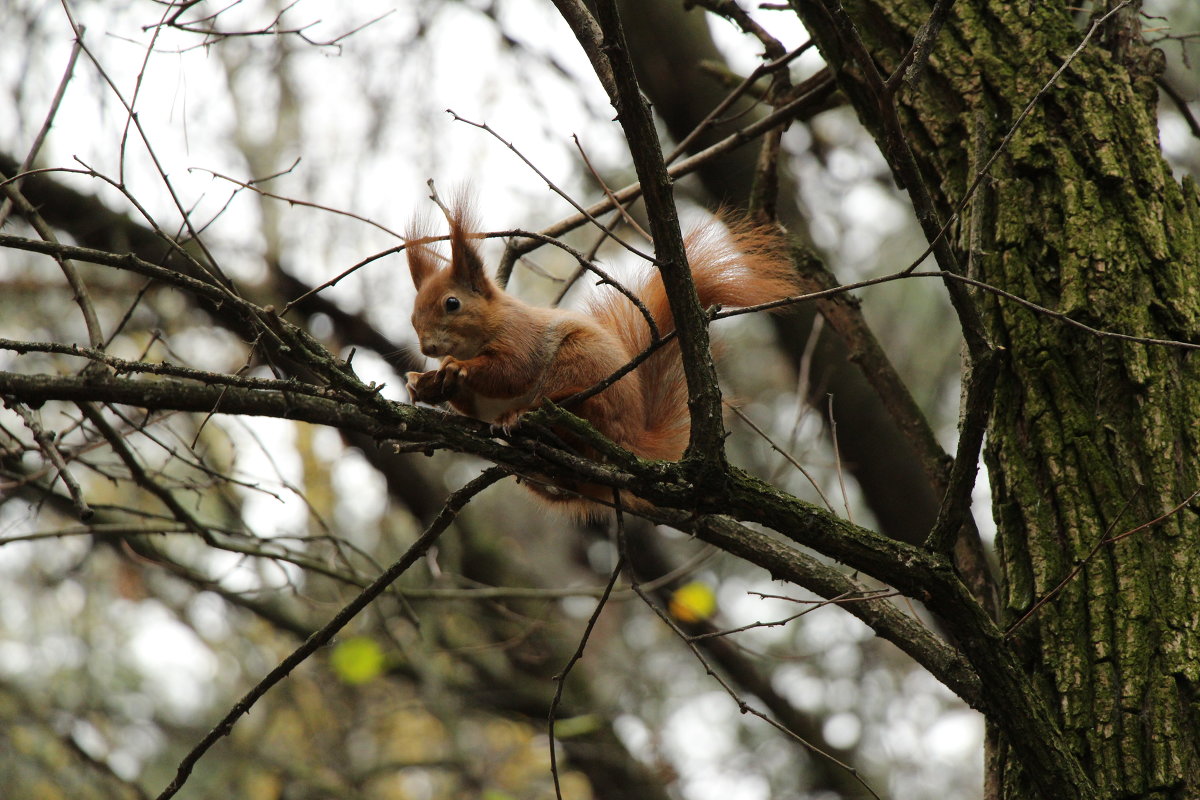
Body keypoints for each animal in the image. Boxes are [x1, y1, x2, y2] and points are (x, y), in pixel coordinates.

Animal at [403, 208, 796, 513]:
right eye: (412, 315)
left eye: (452, 303)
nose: (428, 348)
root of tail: (631, 441)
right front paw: (424, 384)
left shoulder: (521, 337)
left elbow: (511, 372)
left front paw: (457, 369)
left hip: (580, 366)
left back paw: (528, 417)